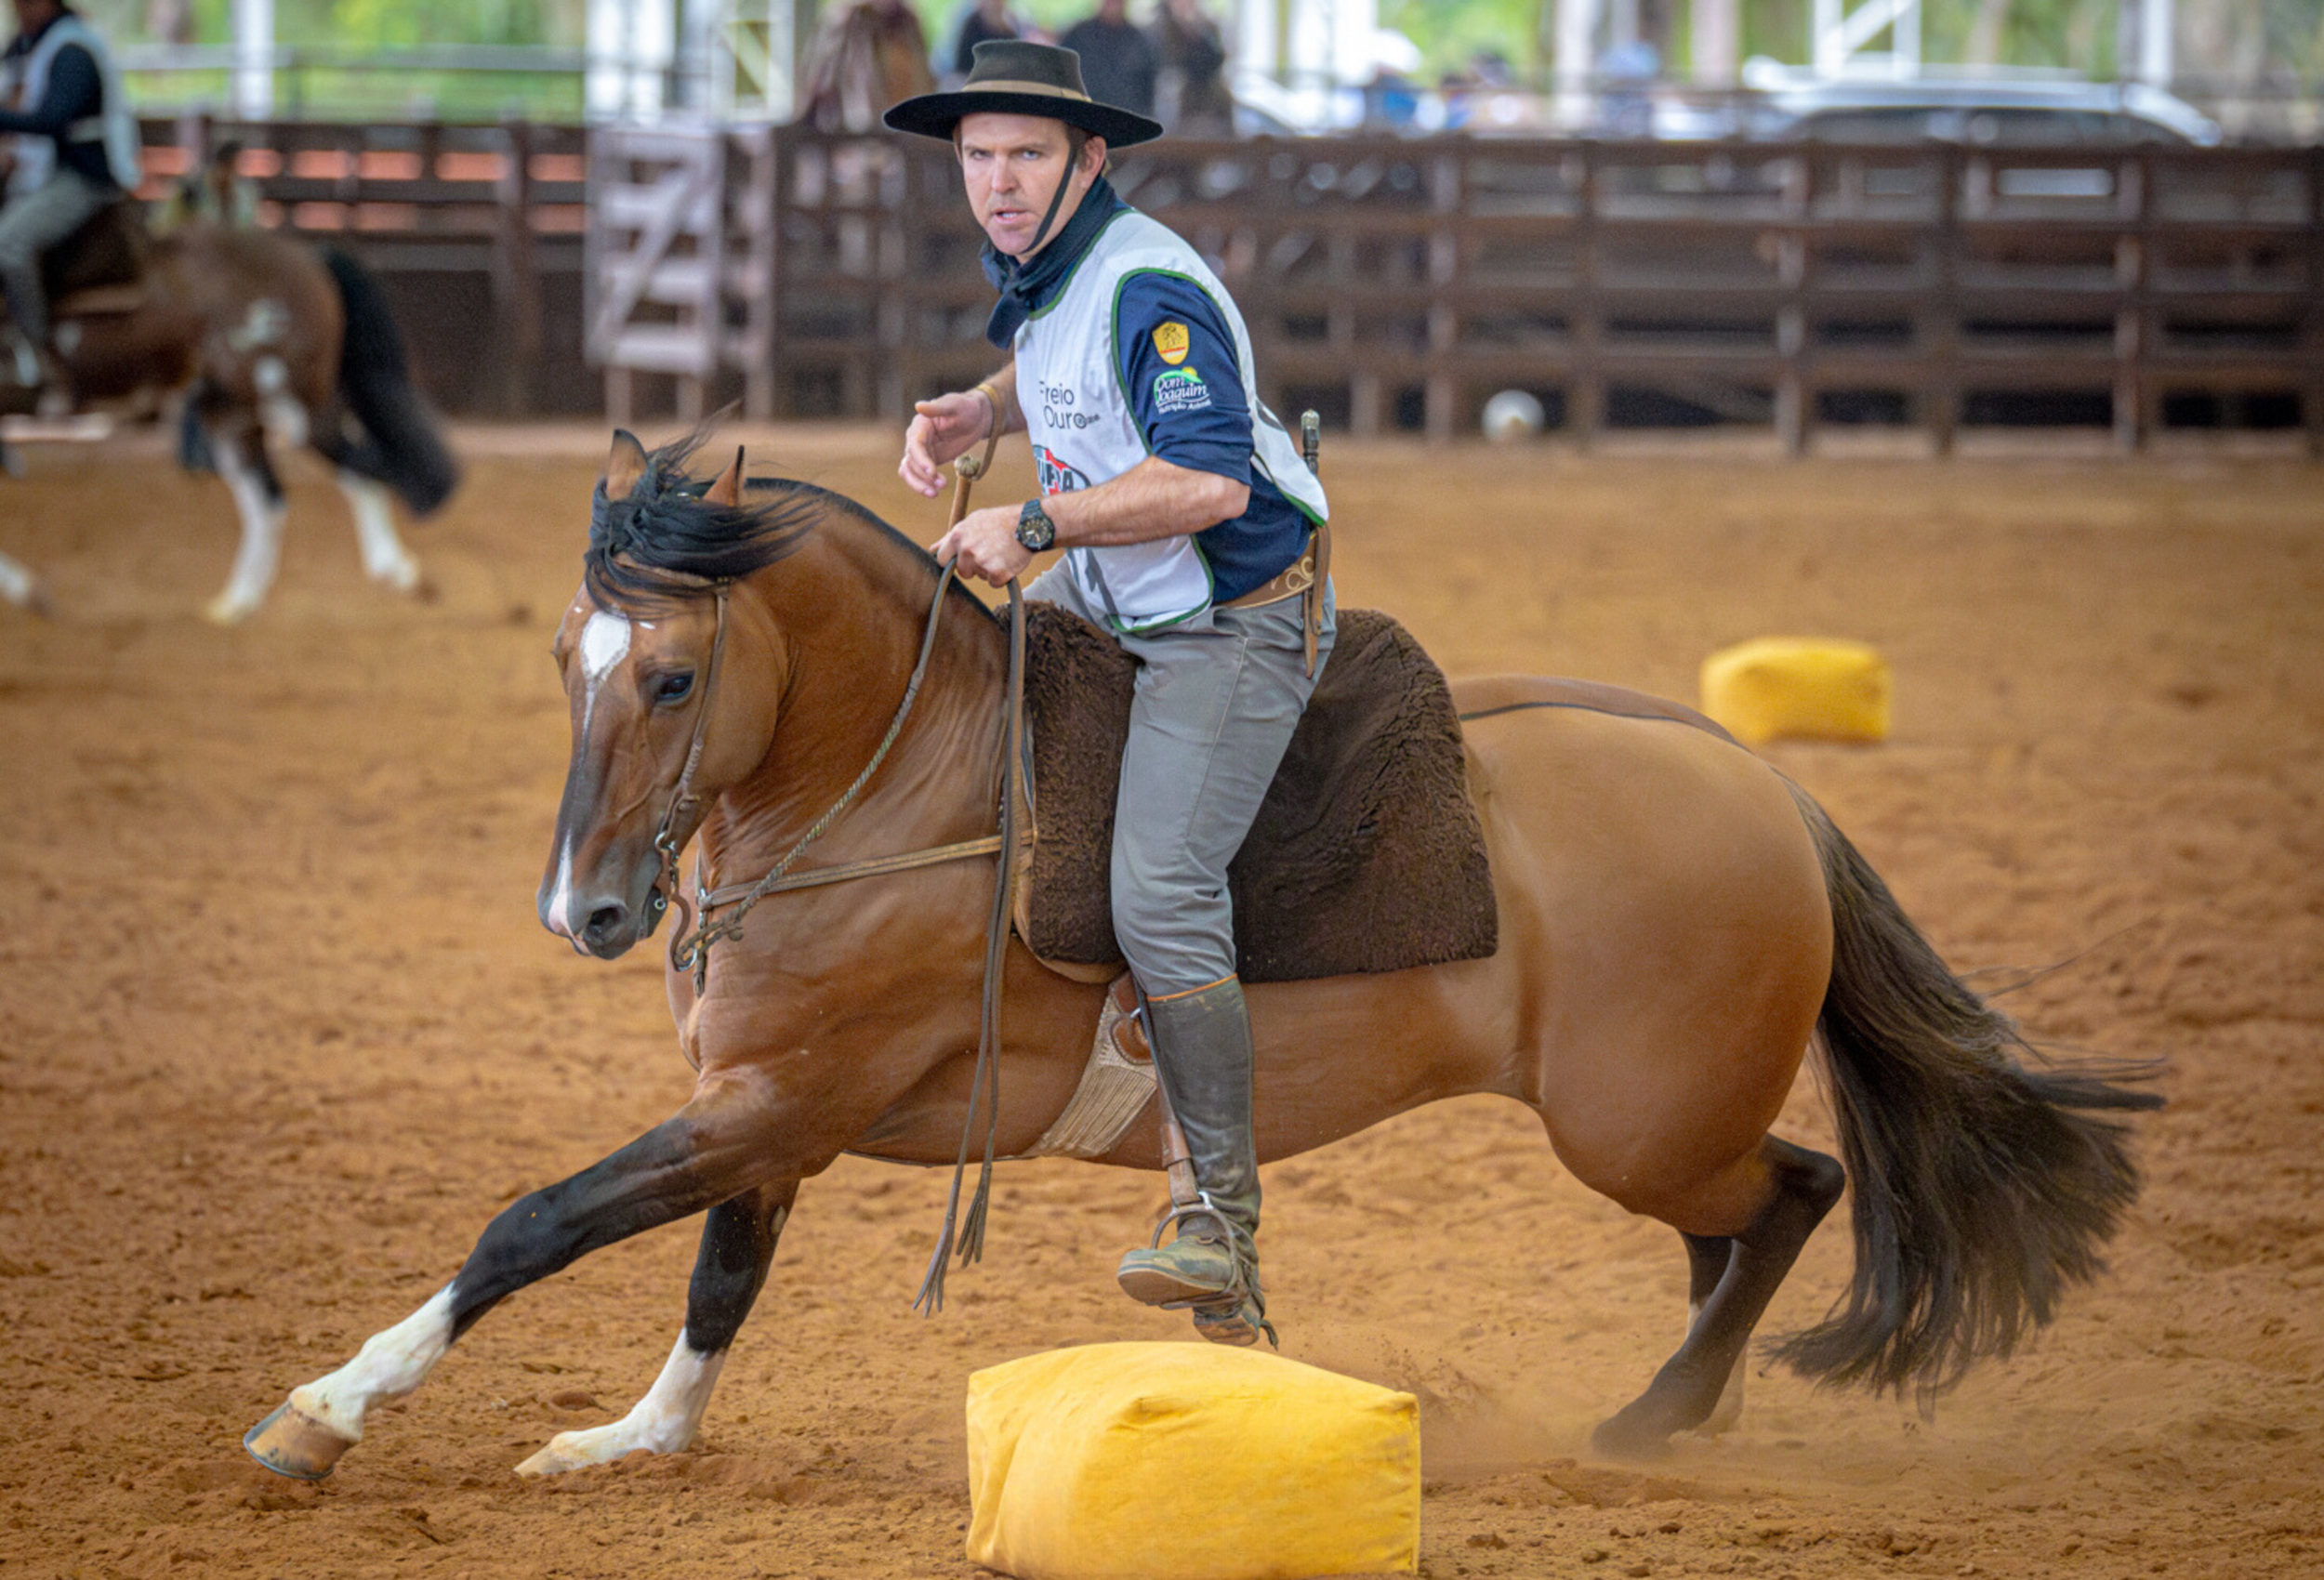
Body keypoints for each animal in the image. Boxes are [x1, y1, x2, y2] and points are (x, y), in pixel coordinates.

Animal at [0, 207, 457, 623]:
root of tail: (308, 257)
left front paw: (30, 592)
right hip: (232, 415)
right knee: (268, 500)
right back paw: (238, 602)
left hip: (296, 410)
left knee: (362, 472)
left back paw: (400, 573)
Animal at [240, 432, 2157, 1478]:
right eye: (562, 654)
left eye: (672, 675)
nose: (586, 913)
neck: (912, 790)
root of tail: (1762, 780)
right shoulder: (763, 1117)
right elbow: (715, 1281)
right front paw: (636, 1439)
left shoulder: (774, 1103)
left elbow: (533, 1225)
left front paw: (329, 1407)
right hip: (1660, 1136)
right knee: (1740, 1235)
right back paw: (1693, 1413)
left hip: (1636, 1128)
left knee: (1798, 1197)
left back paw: (1648, 1422)